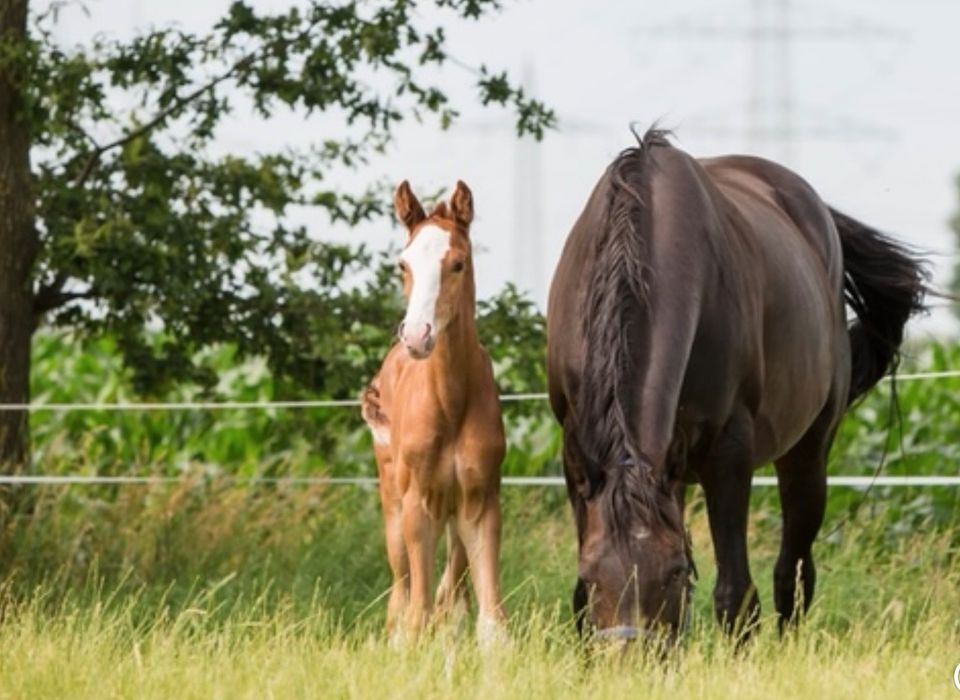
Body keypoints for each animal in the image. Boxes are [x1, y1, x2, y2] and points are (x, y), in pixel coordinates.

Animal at [362, 180, 510, 644]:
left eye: (458, 263)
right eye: (402, 265)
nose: (416, 335)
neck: (451, 403)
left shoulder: (480, 501)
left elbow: (491, 624)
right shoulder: (418, 503)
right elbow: (417, 616)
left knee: (452, 590)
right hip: (393, 499)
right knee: (402, 588)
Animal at [548, 129, 928, 644]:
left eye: (672, 573)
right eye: (592, 575)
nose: (634, 655)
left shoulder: (729, 451)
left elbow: (736, 594)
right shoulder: (579, 456)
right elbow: (579, 599)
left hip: (808, 453)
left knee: (793, 570)